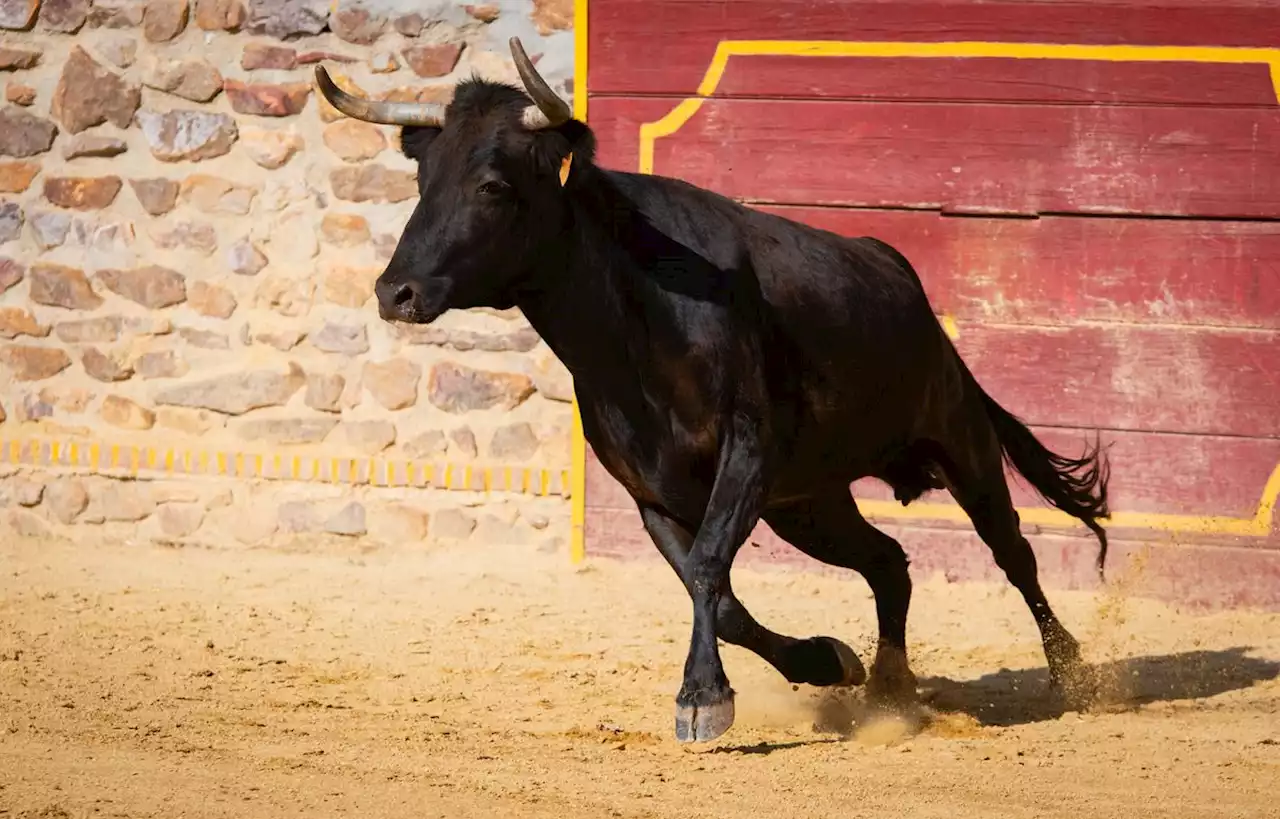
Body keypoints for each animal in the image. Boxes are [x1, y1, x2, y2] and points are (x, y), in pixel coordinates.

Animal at [317, 36, 1111, 742]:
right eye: (423, 183)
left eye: (491, 185)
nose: (396, 292)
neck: (636, 324)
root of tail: (900, 273)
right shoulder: (650, 489)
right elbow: (719, 592)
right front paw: (823, 661)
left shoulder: (748, 451)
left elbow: (707, 567)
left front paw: (702, 698)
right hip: (809, 502)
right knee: (889, 561)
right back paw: (888, 688)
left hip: (958, 438)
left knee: (1012, 552)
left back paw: (1072, 675)